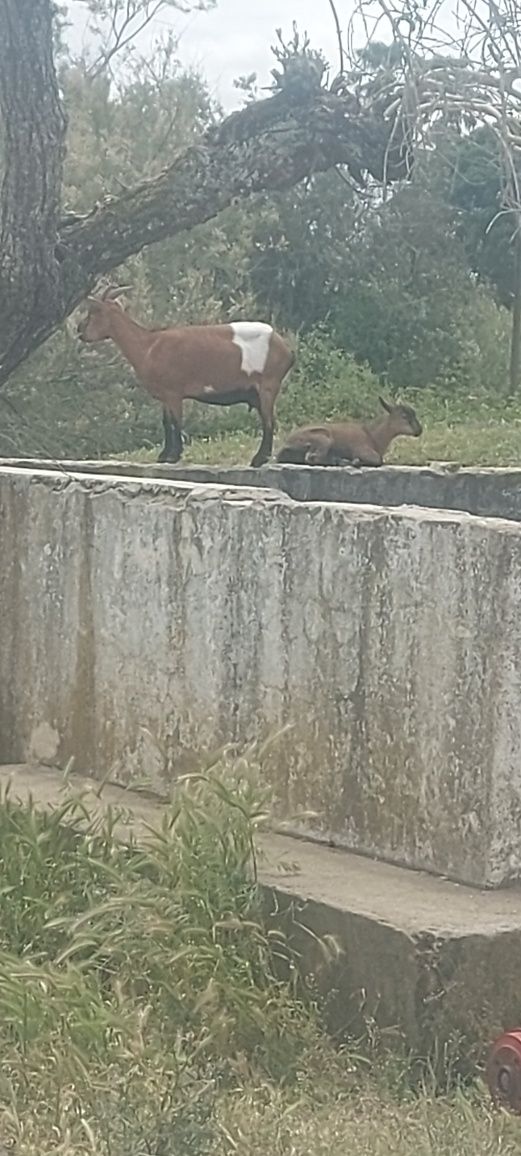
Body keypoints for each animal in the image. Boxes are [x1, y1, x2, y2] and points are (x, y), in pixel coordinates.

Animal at [79, 285, 295, 464]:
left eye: (95, 311)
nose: (80, 330)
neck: (148, 346)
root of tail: (286, 349)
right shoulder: (165, 395)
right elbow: (166, 422)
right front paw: (164, 456)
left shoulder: (174, 392)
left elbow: (176, 422)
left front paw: (174, 456)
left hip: (267, 385)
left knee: (268, 422)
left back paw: (259, 459)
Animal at [277, 399, 425, 467]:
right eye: (404, 416)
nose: (419, 430)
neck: (373, 436)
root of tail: (286, 445)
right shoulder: (361, 449)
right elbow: (378, 460)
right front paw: (356, 461)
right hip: (323, 439)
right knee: (311, 458)